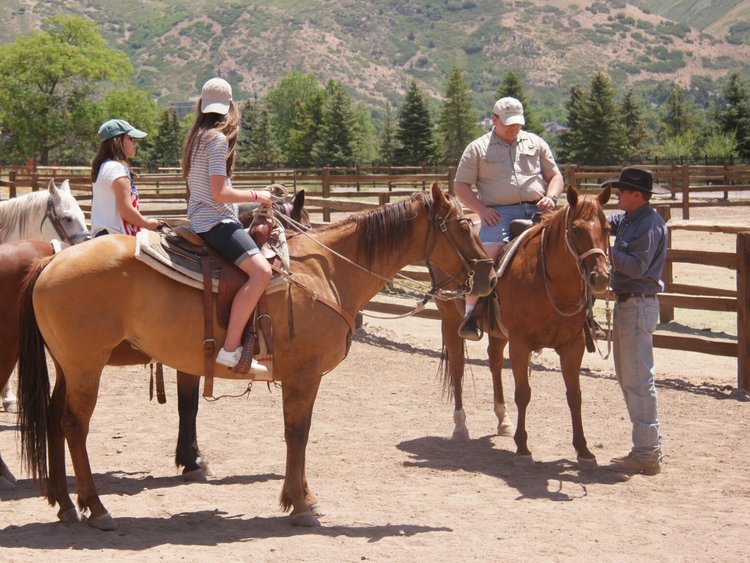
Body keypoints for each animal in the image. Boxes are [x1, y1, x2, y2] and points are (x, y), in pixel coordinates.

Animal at [434, 185, 612, 468]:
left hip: (497, 333)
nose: (601, 277)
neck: (547, 280)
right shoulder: (520, 343)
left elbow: (574, 395)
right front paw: (523, 447)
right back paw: (460, 427)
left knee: (494, 362)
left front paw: (583, 449)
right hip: (450, 320)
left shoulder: (573, 345)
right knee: (458, 368)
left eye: (606, 228)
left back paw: (503, 420)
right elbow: (523, 393)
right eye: (575, 230)